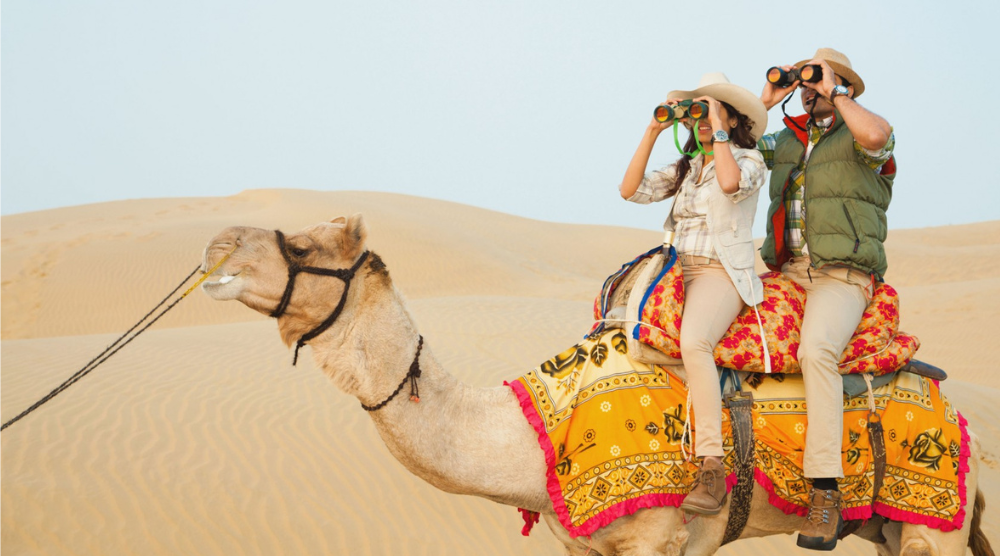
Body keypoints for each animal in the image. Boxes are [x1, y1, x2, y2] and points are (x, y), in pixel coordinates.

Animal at [200, 214, 992, 556]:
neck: (530, 433)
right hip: (886, 525)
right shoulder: (586, 546)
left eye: (300, 244)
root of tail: (959, 418)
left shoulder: (656, 538)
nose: (217, 243)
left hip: (932, 524)